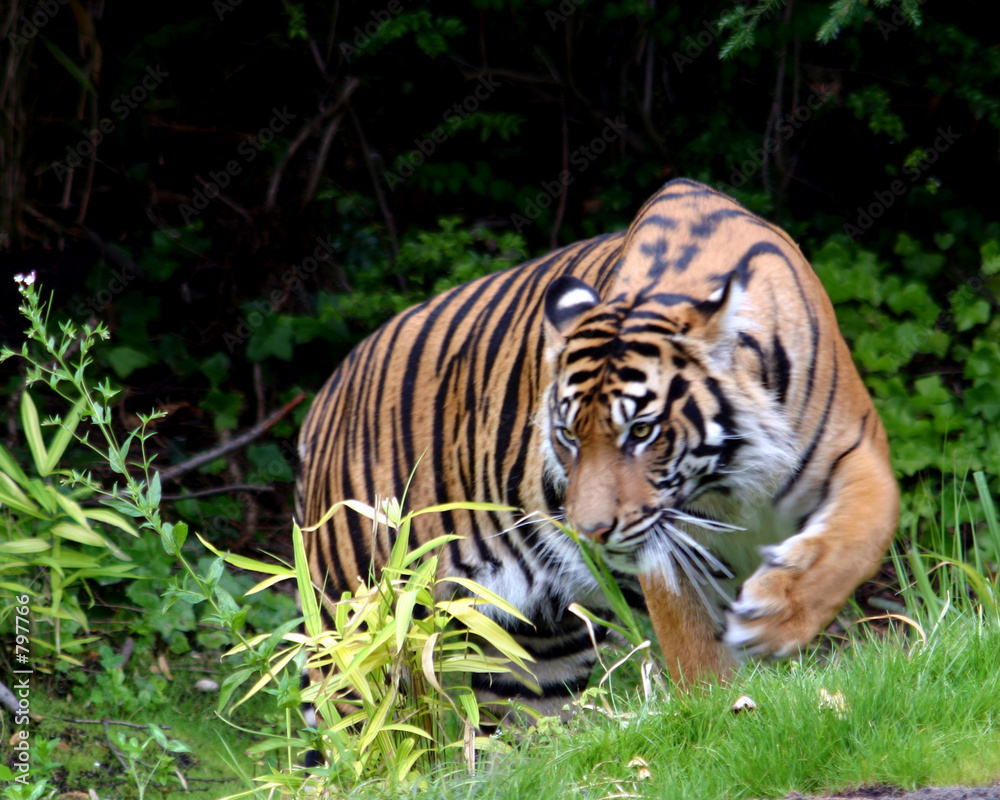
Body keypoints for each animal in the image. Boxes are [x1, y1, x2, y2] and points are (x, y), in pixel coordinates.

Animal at [295, 177, 899, 718]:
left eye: (641, 431)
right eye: (567, 436)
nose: (589, 532)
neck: (732, 476)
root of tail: (321, 402)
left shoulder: (854, 448)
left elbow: (862, 533)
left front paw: (774, 616)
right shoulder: (669, 539)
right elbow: (694, 647)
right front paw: (721, 710)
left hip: (534, 653)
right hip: (363, 626)